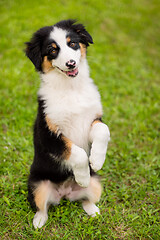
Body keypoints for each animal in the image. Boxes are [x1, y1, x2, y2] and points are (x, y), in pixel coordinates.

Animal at [25, 19, 110, 228]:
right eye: (52, 50)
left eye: (72, 43)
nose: (70, 63)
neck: (71, 88)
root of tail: (64, 193)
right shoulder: (48, 133)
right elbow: (77, 152)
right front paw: (82, 176)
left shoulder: (92, 119)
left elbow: (103, 130)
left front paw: (96, 160)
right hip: (37, 184)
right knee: (42, 206)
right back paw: (38, 222)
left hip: (97, 184)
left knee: (86, 199)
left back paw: (93, 210)